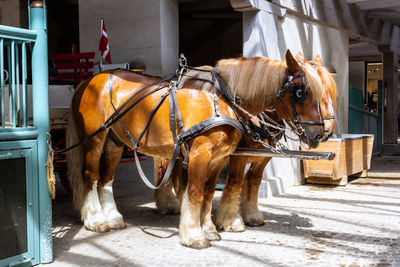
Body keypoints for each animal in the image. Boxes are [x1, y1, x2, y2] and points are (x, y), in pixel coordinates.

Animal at [155, 52, 336, 232]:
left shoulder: (263, 157)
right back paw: (168, 203)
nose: (325, 132)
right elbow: (235, 182)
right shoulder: (238, 156)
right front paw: (232, 220)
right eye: (302, 93)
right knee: (163, 170)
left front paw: (251, 214)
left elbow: (254, 181)